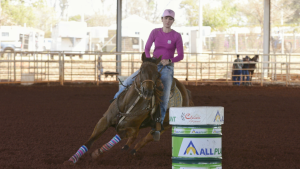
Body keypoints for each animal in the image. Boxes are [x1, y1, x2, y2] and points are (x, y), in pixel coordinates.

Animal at [64, 52, 193, 165]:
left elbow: (119, 136)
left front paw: (97, 153)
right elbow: (90, 141)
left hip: (165, 125)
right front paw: (72, 159)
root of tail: (185, 91)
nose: (148, 92)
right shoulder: (104, 121)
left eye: (157, 74)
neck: (128, 104)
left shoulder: (131, 129)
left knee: (148, 137)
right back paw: (126, 148)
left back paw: (132, 151)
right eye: (141, 70)